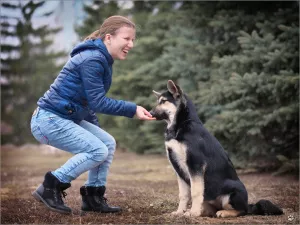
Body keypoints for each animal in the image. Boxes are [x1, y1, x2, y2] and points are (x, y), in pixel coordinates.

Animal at [150, 80, 284, 217]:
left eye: (163, 101)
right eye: (159, 101)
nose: (150, 113)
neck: (181, 125)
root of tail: (249, 205)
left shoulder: (195, 165)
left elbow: (195, 192)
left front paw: (193, 213)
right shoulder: (178, 169)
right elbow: (183, 195)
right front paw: (180, 212)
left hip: (232, 193)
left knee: (242, 211)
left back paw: (223, 212)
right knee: (211, 209)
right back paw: (199, 211)